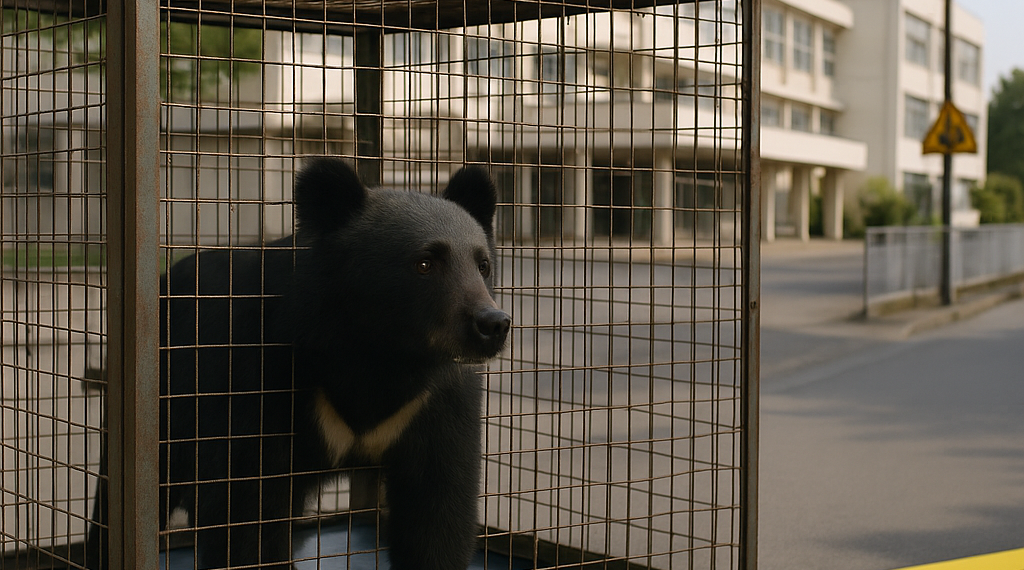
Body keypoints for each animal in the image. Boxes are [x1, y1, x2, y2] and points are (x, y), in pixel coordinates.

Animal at [87, 157, 511, 570]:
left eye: (483, 265)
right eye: (424, 263)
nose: (492, 323)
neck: (378, 350)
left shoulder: (435, 403)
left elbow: (437, 510)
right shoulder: (258, 374)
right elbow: (247, 510)